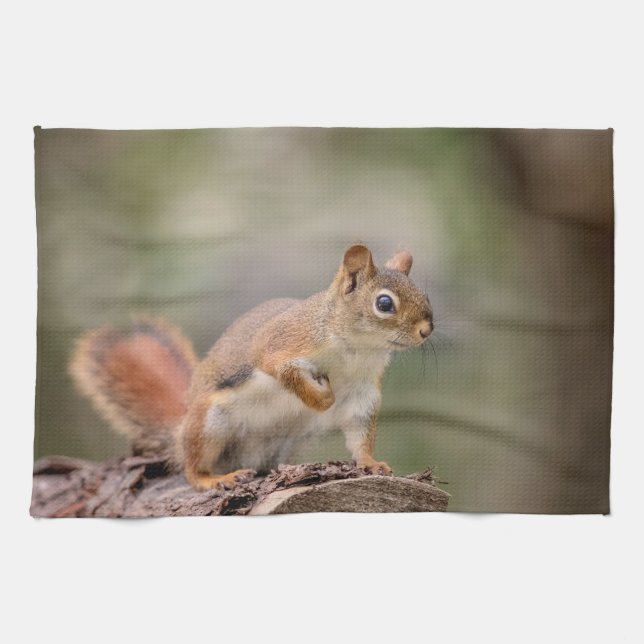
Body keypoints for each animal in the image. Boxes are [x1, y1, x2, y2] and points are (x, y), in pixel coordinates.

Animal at [70, 244, 433, 491]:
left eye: (425, 295)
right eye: (384, 303)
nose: (426, 330)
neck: (357, 349)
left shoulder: (362, 390)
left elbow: (359, 431)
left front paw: (371, 463)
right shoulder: (281, 344)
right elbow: (283, 371)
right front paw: (321, 399)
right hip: (209, 422)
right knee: (191, 467)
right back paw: (213, 479)